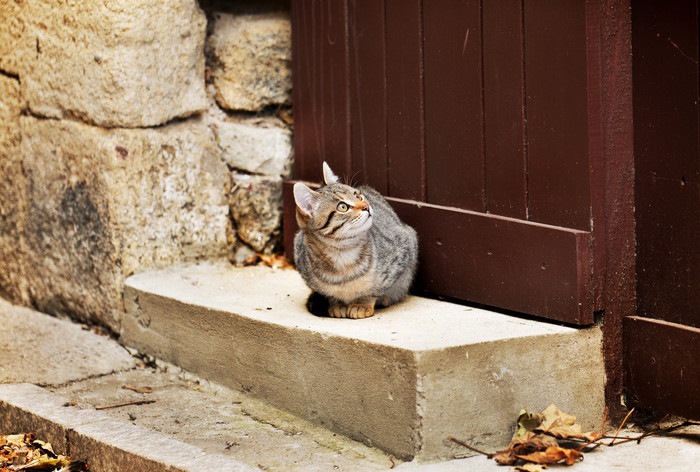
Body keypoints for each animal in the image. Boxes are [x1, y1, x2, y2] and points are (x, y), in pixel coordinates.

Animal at [292, 160, 418, 318]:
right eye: (343, 207)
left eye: (358, 195)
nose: (366, 206)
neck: (342, 253)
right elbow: (329, 294)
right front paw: (337, 304)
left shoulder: (403, 249)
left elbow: (374, 289)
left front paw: (362, 303)